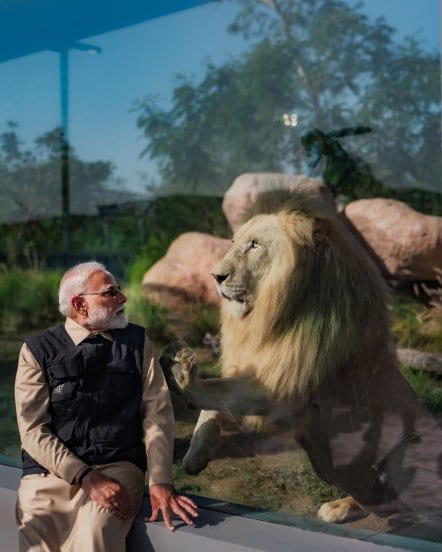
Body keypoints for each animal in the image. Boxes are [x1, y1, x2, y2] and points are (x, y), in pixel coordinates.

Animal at [161, 191, 442, 528]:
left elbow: (218, 390)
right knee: (380, 498)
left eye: (255, 245)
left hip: (410, 446)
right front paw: (194, 456)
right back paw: (342, 506)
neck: (268, 315)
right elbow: (214, 402)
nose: (216, 276)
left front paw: (180, 372)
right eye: (234, 242)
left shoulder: (284, 389)